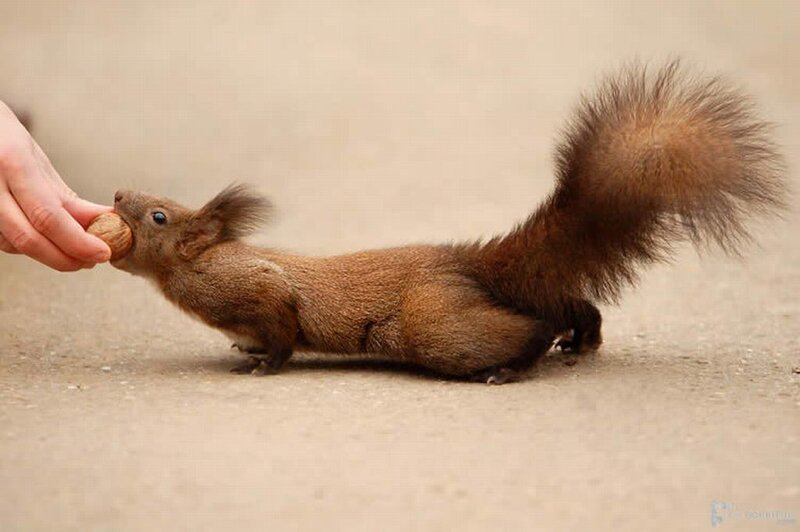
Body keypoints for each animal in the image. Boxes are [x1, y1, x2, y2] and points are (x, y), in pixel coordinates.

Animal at [110, 62, 786, 384]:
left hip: (433, 324)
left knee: (530, 326)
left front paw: (262, 362)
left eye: (159, 215)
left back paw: (511, 366)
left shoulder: (257, 286)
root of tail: (469, 265)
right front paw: (243, 347)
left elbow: (280, 328)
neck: (200, 266)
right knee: (571, 304)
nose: (116, 192)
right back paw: (581, 339)